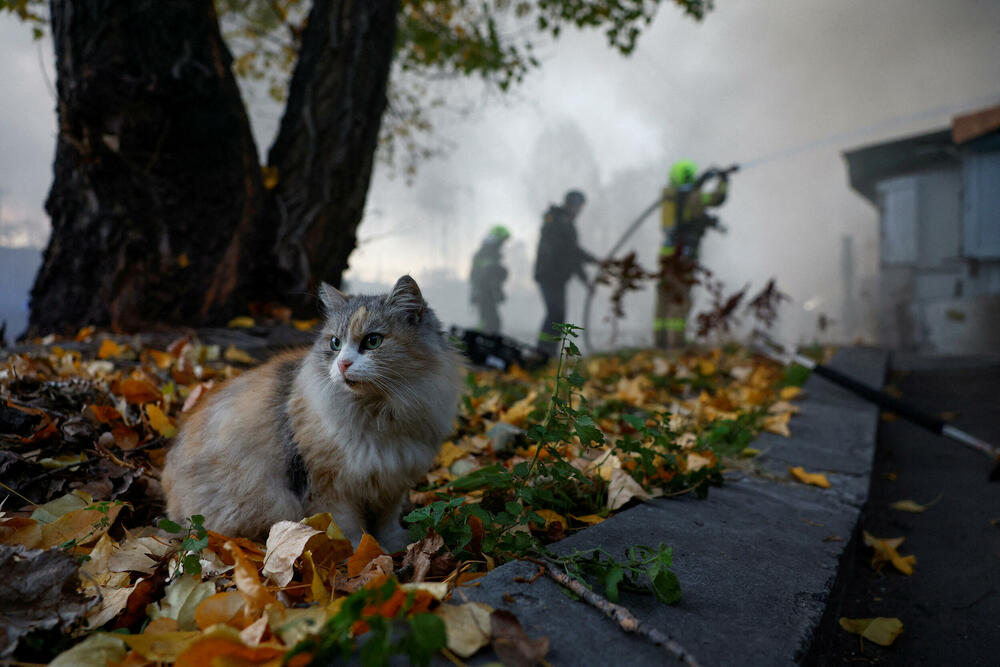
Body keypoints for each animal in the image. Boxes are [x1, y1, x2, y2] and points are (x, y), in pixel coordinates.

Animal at [162, 274, 462, 552]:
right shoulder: (331, 488)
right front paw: (361, 555)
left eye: (373, 341)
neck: (377, 415)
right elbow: (349, 530)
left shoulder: (393, 481)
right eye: (335, 343)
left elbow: (387, 524)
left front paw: (396, 547)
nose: (343, 364)